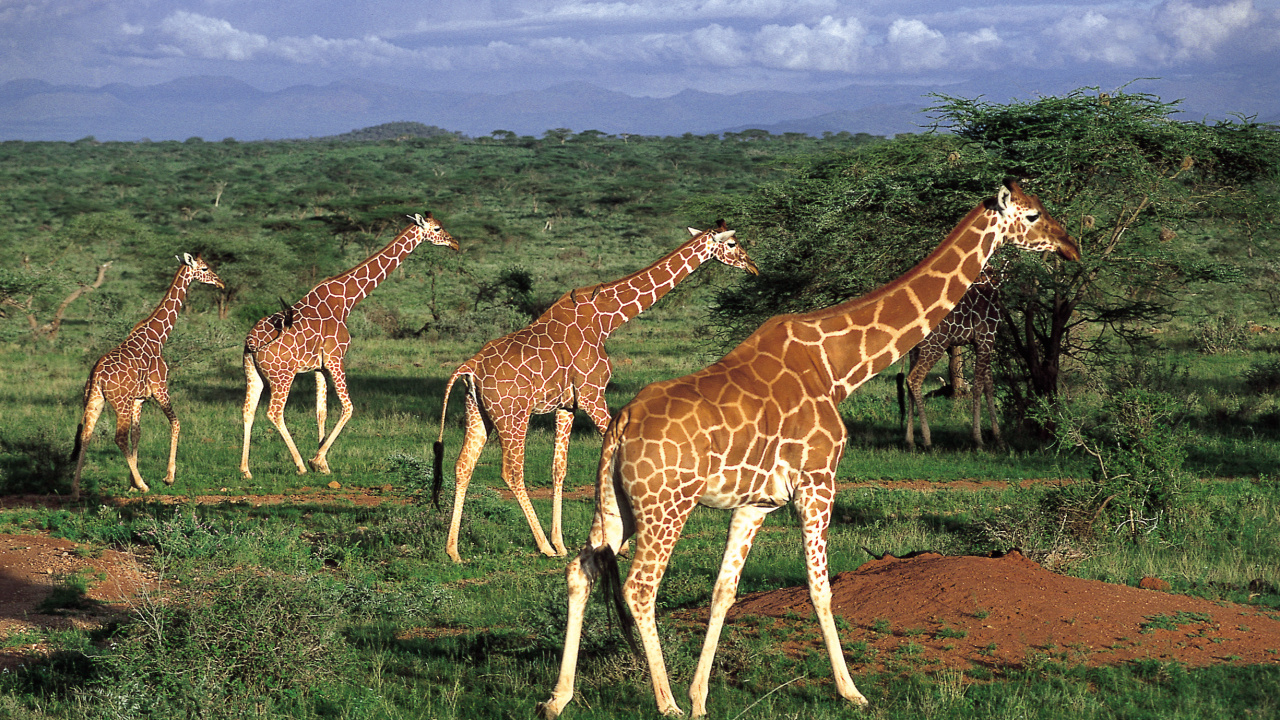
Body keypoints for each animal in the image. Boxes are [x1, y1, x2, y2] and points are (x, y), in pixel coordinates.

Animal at [71, 253, 225, 499]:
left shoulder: (139, 399)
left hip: (95, 400)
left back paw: (75, 489)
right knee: (118, 437)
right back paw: (145, 485)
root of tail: (96, 376)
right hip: (120, 403)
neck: (158, 336)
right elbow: (176, 423)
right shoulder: (160, 388)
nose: (221, 283)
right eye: (204, 268)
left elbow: (137, 434)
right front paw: (166, 477)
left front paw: (132, 482)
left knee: (86, 434)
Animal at [240, 213, 457, 479]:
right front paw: (317, 461)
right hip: (283, 375)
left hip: (253, 372)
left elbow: (321, 412)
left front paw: (322, 462)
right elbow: (348, 408)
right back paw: (299, 465)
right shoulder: (336, 357)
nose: (455, 243)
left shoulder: (319, 366)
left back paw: (245, 469)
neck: (346, 300)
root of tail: (251, 341)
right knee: (274, 412)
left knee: (248, 410)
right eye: (437, 228)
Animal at [434, 221, 758, 563]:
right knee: (511, 472)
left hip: (478, 412)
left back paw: (454, 550)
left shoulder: (567, 405)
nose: (753, 266)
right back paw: (543, 546)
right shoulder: (592, 394)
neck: (606, 318)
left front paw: (563, 542)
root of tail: (469, 367)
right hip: (513, 415)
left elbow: (559, 469)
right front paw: (619, 543)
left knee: (463, 466)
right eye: (733, 243)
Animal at [903, 261, 1007, 450]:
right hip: (936, 346)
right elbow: (978, 386)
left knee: (908, 382)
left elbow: (989, 386)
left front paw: (998, 438)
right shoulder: (985, 339)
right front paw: (978, 439)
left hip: (916, 350)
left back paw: (910, 440)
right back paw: (927, 440)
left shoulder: (984, 343)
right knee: (914, 379)